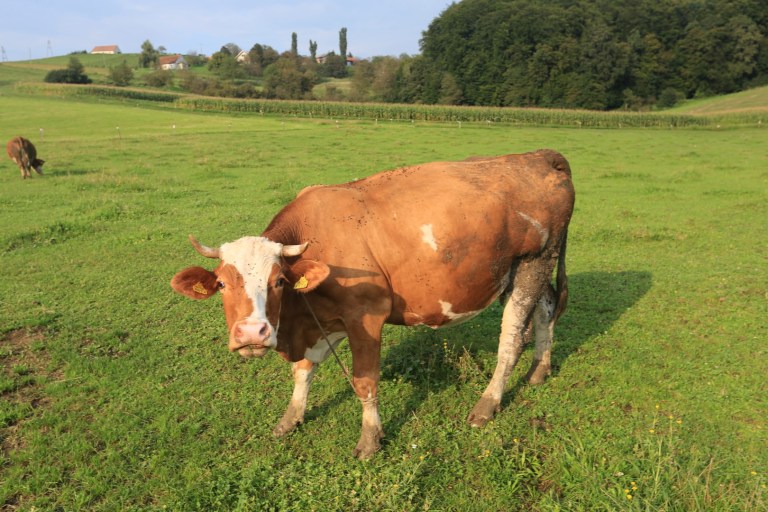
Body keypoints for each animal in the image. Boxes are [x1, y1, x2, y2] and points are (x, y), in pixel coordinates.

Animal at [171, 149, 575, 458]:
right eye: (222, 284)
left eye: (278, 281)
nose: (252, 333)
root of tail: (538, 156)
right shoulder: (320, 319)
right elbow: (303, 370)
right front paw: (291, 417)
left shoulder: (365, 315)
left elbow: (364, 382)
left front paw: (369, 439)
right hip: (524, 270)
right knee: (545, 310)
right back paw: (540, 369)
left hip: (534, 262)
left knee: (511, 341)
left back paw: (487, 404)